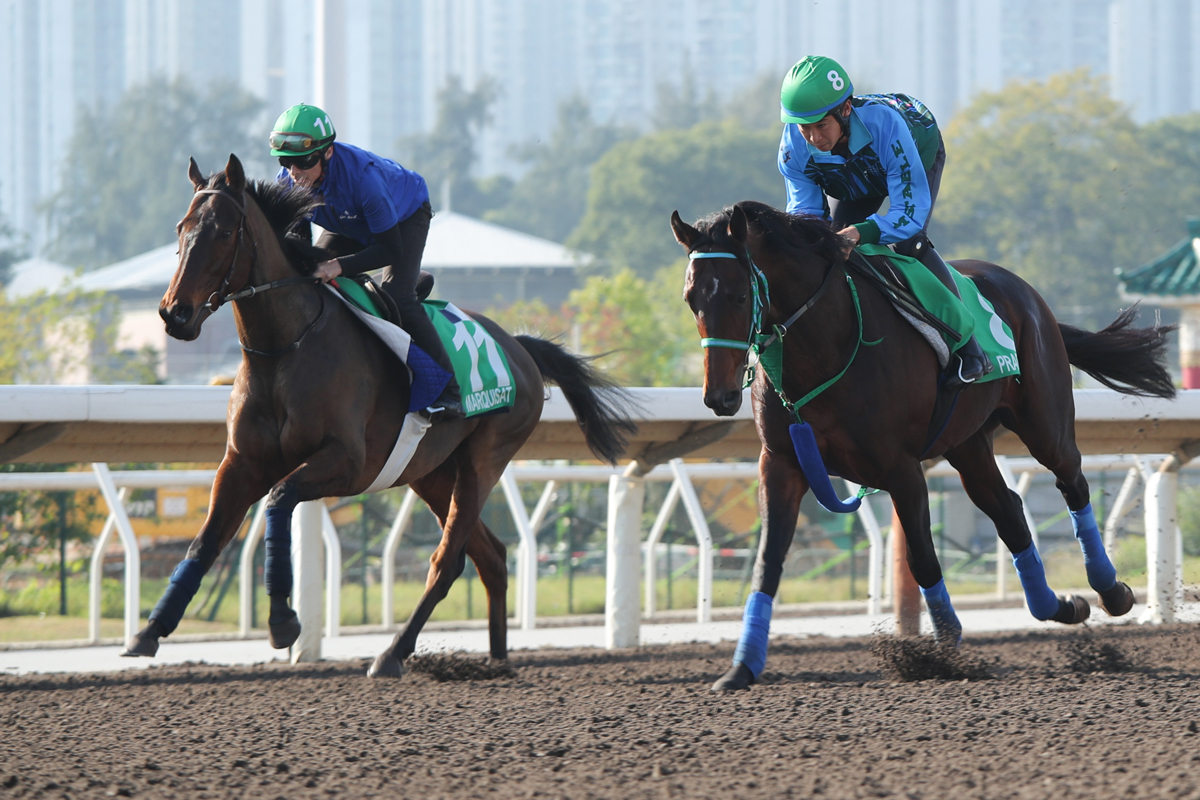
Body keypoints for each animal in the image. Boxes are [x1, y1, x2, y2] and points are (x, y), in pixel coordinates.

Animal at [123, 153, 638, 681]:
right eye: (182, 228)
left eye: (224, 232)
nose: (174, 315)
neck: (285, 350)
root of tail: (519, 347)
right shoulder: (241, 463)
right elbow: (203, 542)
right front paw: (150, 630)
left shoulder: (348, 463)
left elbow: (279, 500)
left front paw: (283, 621)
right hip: (431, 471)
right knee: (490, 557)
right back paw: (496, 661)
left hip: (485, 460)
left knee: (448, 560)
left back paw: (393, 653)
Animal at [672, 201, 1176, 695]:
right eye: (691, 299)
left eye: (740, 296)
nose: (719, 397)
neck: (824, 349)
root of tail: (1028, 295)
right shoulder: (781, 464)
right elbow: (768, 562)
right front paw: (742, 667)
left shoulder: (902, 469)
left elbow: (921, 557)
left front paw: (943, 651)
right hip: (968, 443)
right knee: (1008, 509)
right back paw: (1059, 606)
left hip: (1045, 423)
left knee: (1072, 483)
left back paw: (1111, 591)